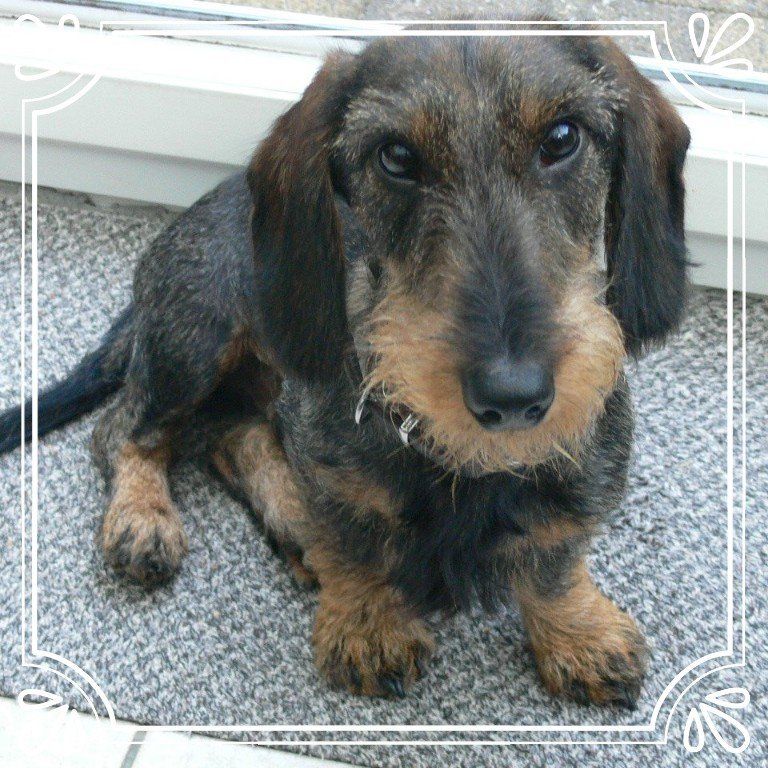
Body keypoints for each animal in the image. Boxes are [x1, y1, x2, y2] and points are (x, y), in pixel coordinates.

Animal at [0, 25, 690, 707]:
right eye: (396, 157)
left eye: (563, 138)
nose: (514, 395)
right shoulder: (327, 452)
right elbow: (352, 535)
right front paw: (367, 623)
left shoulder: (587, 463)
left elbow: (555, 560)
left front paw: (579, 634)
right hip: (196, 335)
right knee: (125, 429)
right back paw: (144, 518)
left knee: (234, 434)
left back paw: (285, 515)